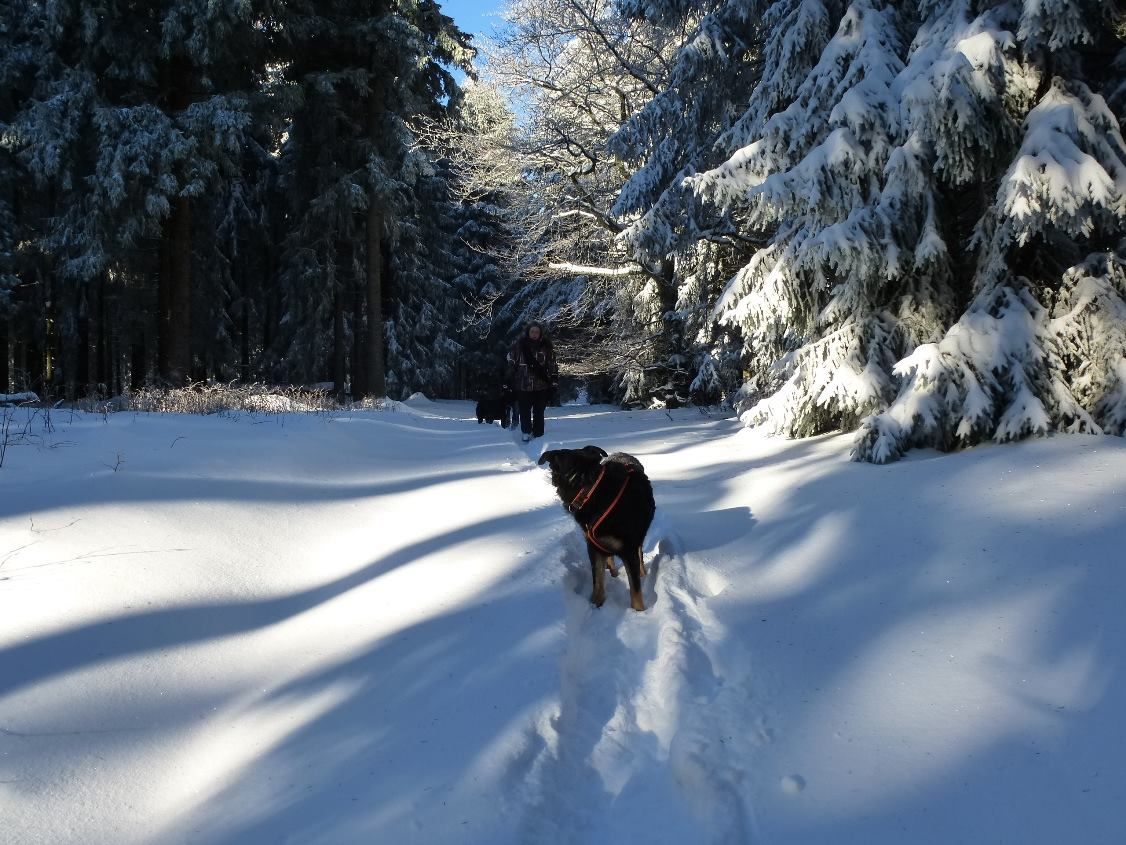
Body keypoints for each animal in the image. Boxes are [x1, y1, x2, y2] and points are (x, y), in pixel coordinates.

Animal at [538, 446, 657, 612]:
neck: (590, 491)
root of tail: (622, 453)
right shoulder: (593, 547)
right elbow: (597, 584)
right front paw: (596, 604)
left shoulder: (629, 549)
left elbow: (635, 590)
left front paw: (639, 612)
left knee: (639, 554)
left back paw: (641, 572)